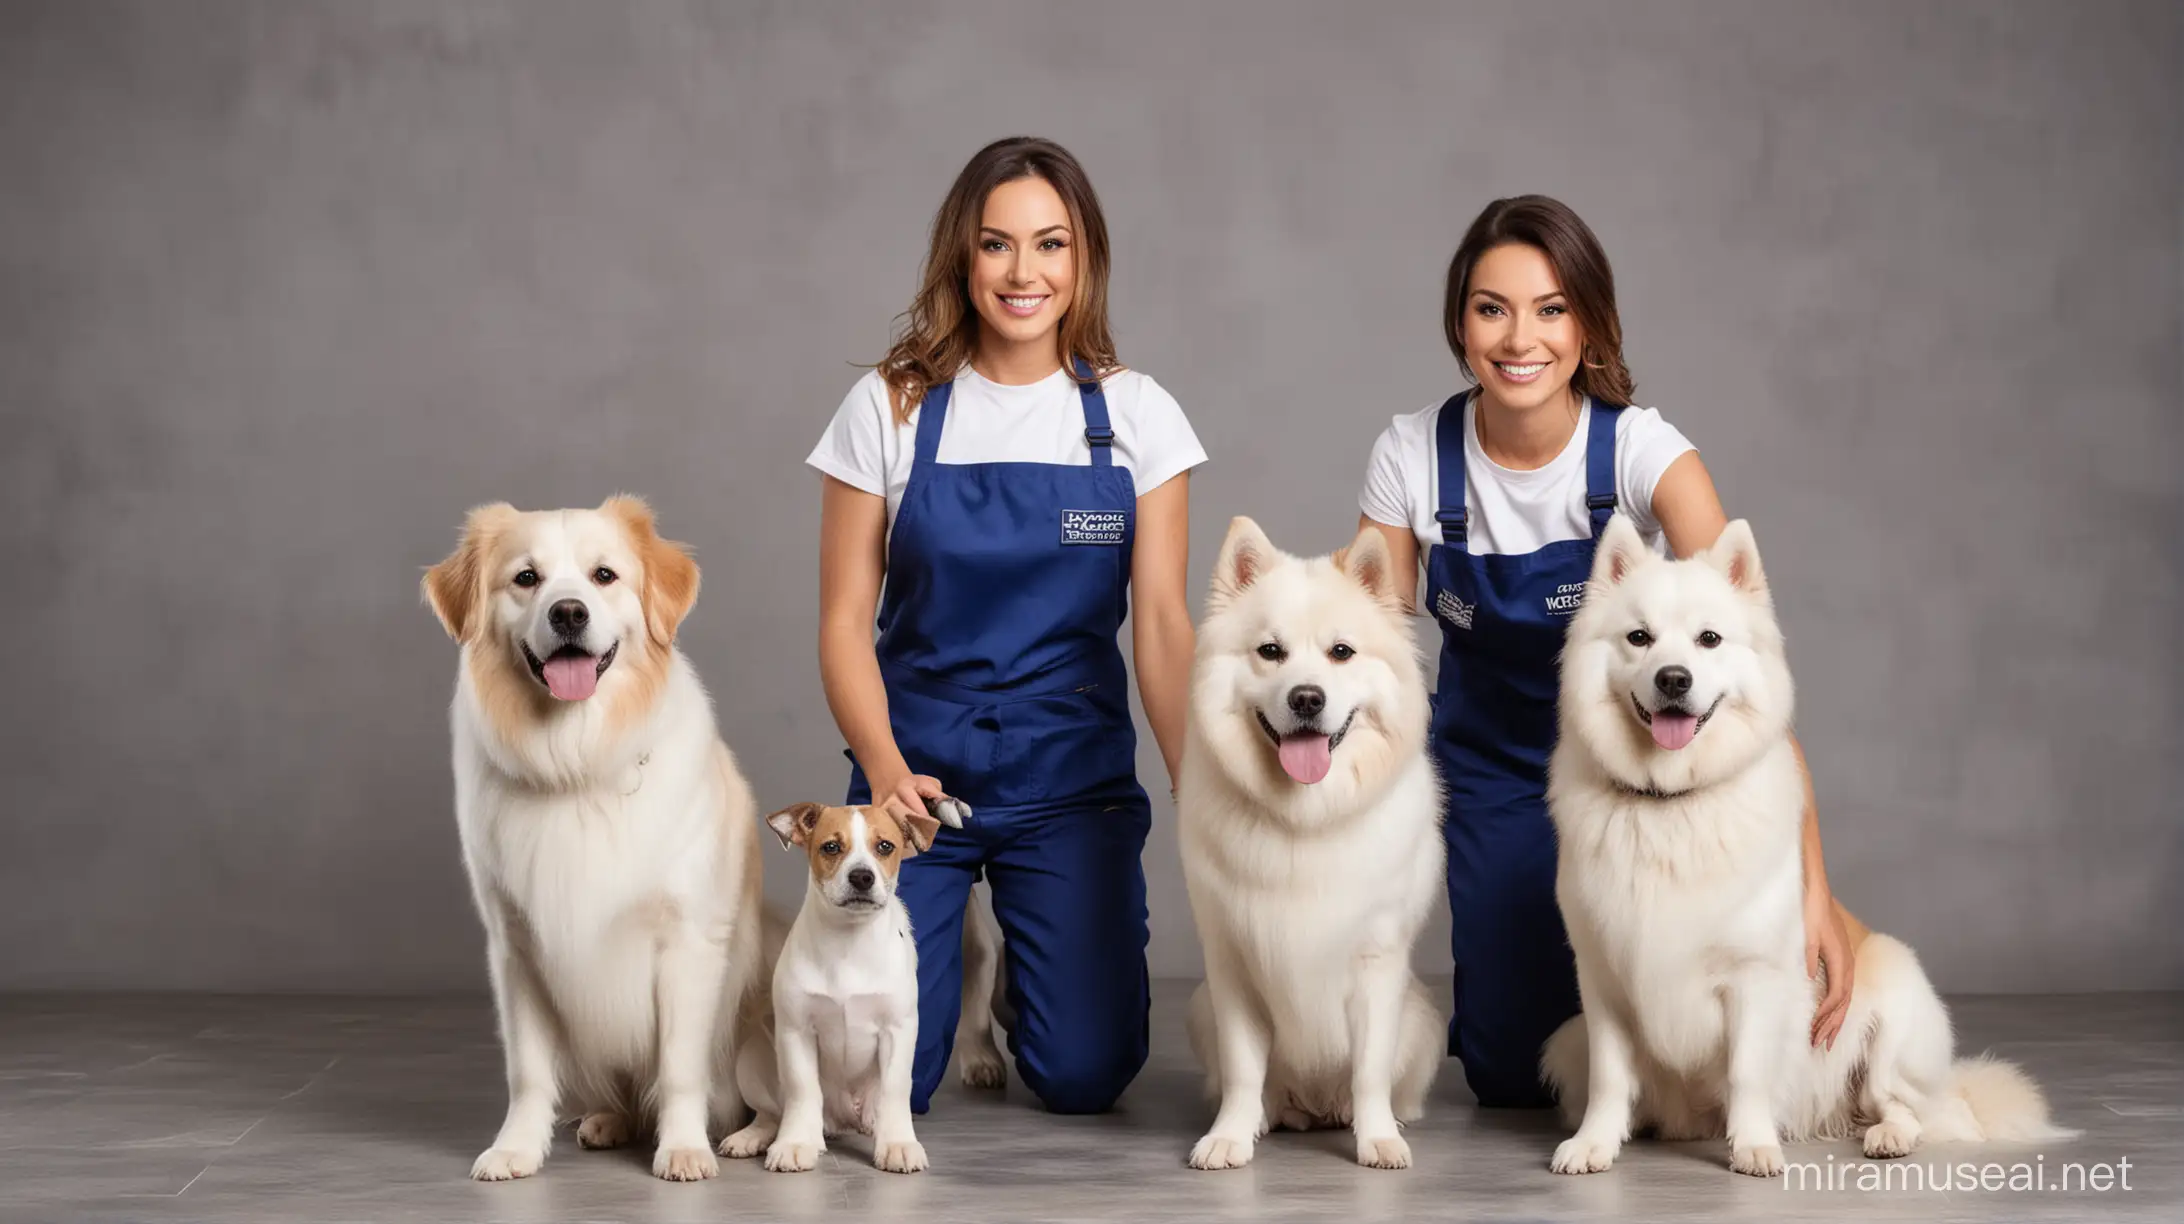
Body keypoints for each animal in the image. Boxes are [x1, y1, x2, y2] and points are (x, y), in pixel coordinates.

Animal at [423, 498, 768, 1189]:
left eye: (604, 575)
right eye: (526, 578)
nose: (569, 612)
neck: (576, 764)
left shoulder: (687, 941)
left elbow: (680, 1067)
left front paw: (683, 1148)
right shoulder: (517, 946)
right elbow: (528, 1071)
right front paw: (516, 1149)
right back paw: (609, 1119)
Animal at [1179, 513, 1450, 1162]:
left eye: (1341, 652)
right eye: (1270, 652)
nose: (1307, 697)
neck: (1303, 818)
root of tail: (1315, 1104)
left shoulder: (1376, 964)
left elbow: (1370, 1069)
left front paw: (1377, 1140)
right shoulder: (1232, 966)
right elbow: (1243, 1068)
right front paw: (1229, 1137)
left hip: (1423, 1018)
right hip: (1199, 1007)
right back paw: (1272, 1114)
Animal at [1546, 513, 2070, 1180]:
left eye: (1709, 640)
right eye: (1639, 638)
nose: (1673, 679)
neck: (1673, 802)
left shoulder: (1752, 980)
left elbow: (1746, 1072)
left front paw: (1753, 1147)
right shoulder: (1604, 983)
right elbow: (1611, 1078)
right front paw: (1594, 1144)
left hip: (1892, 1011)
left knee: (1908, 1107)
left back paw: (1887, 1137)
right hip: (1567, 1041)